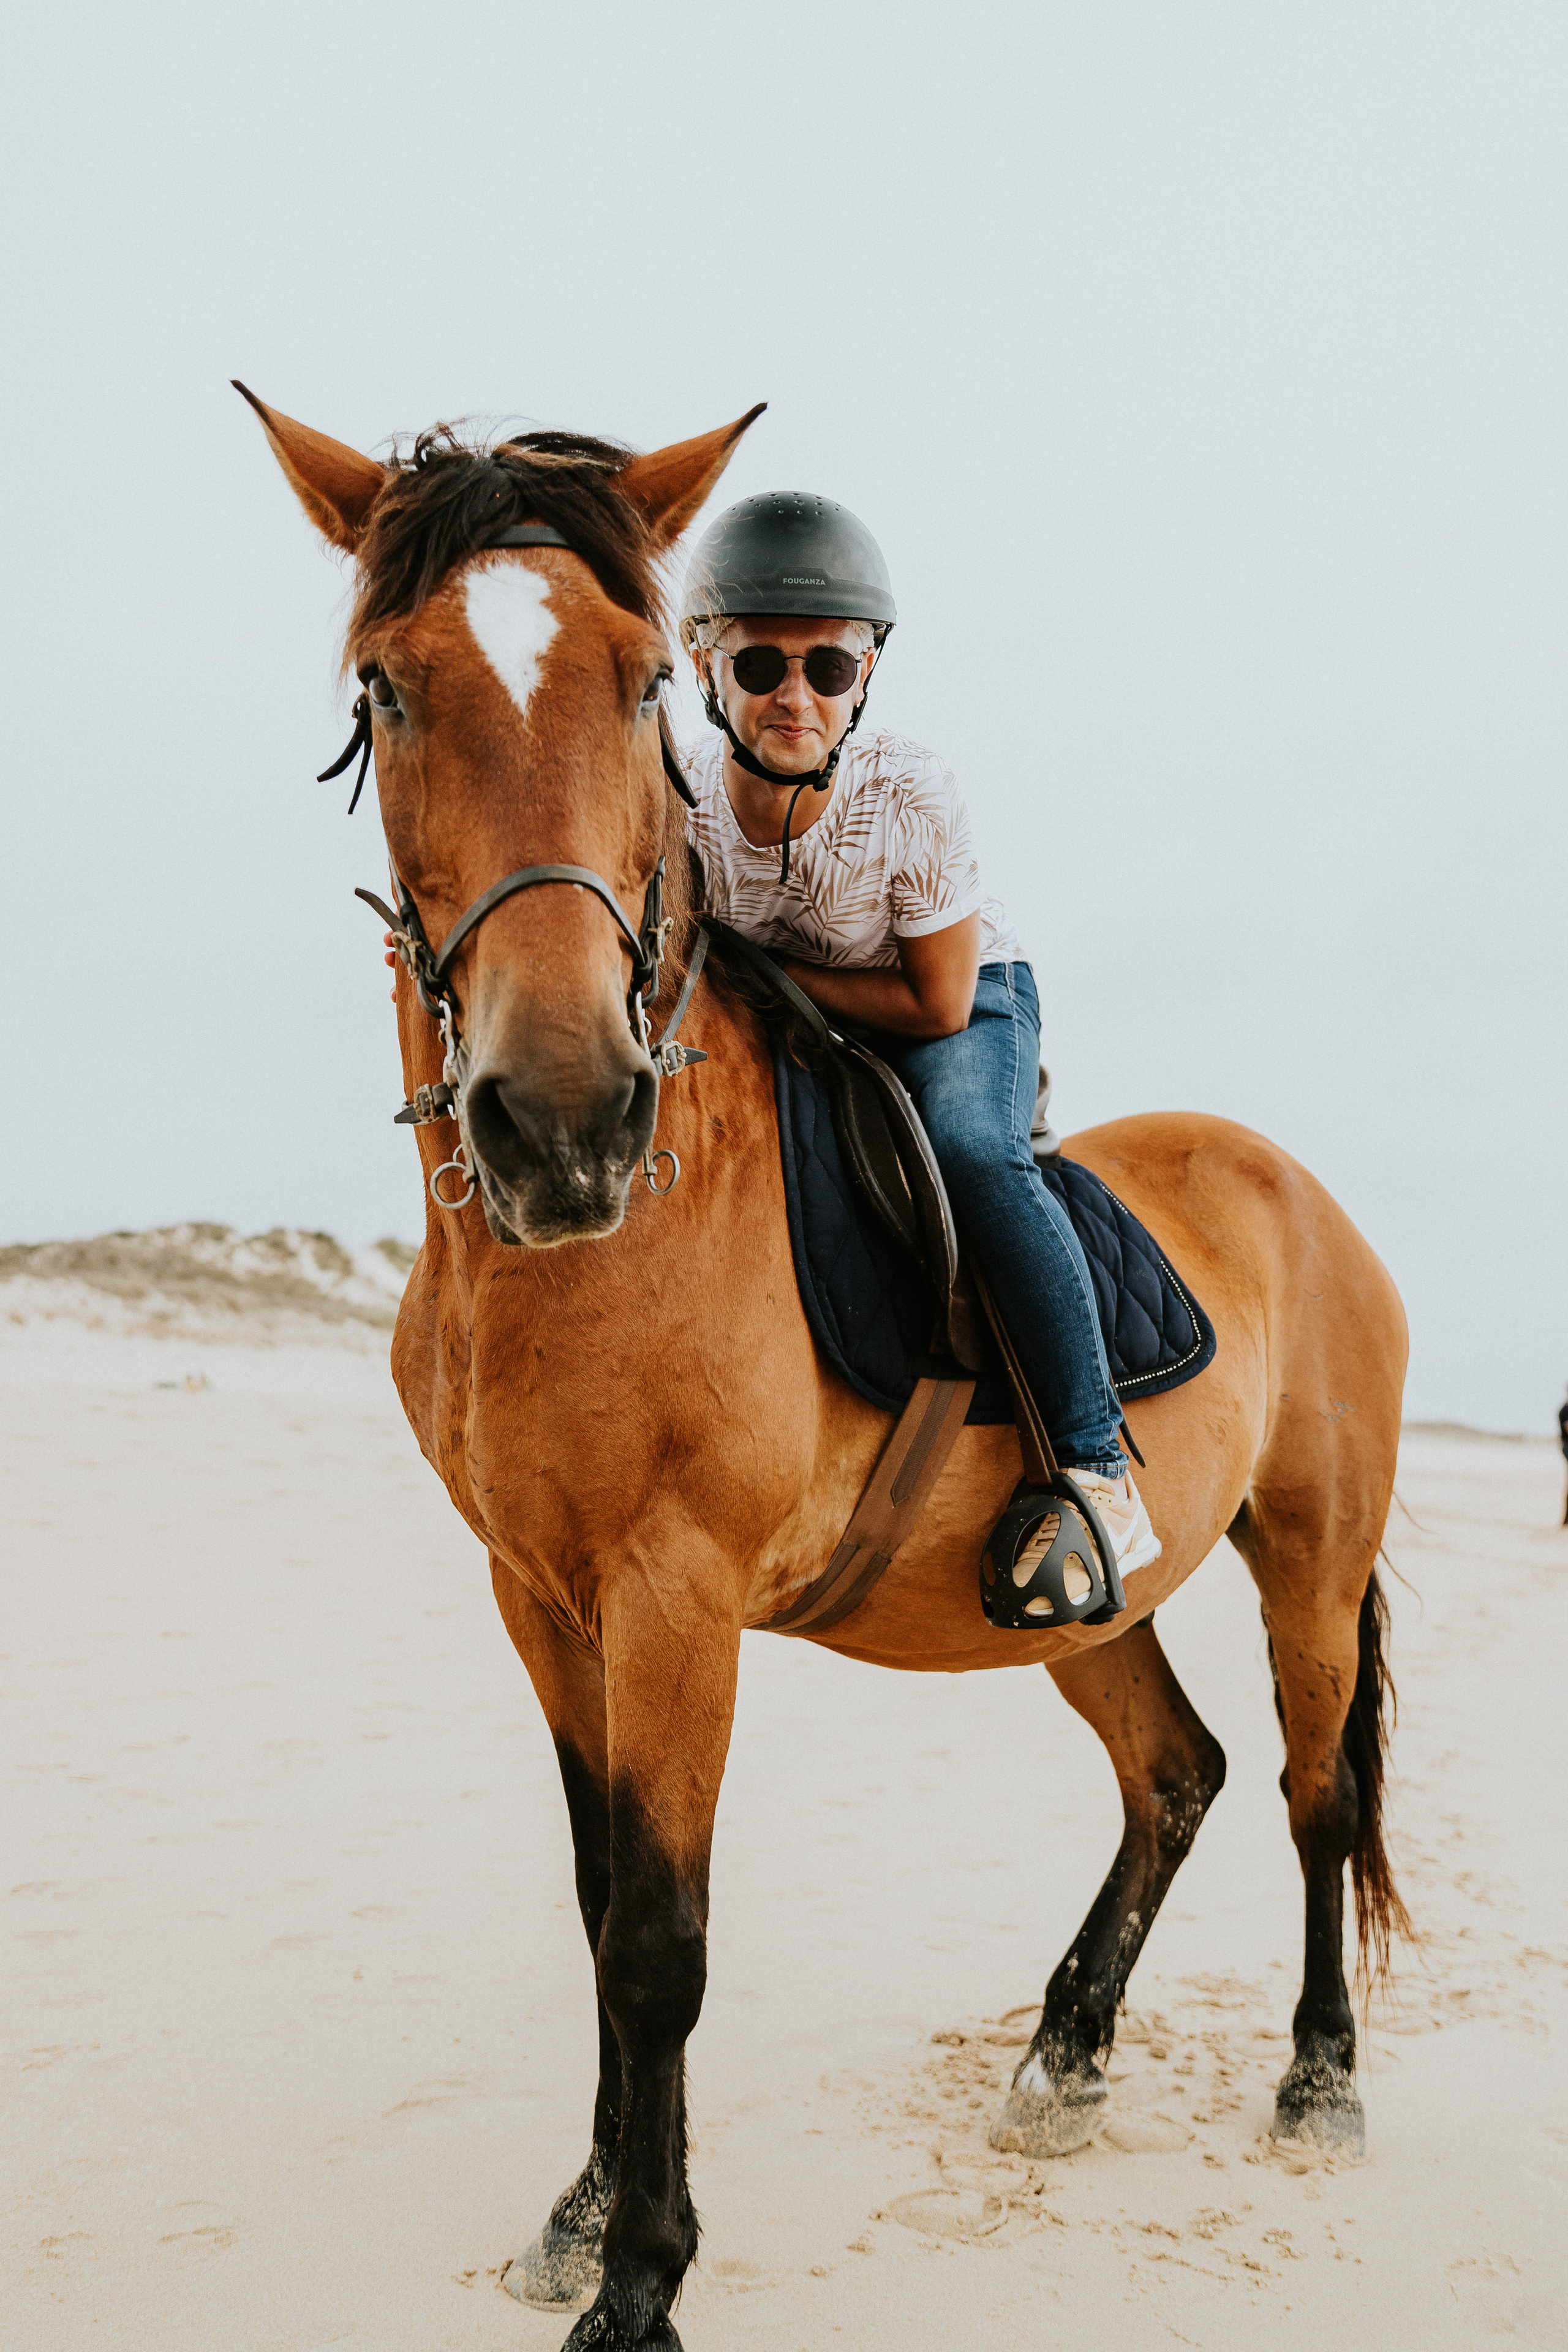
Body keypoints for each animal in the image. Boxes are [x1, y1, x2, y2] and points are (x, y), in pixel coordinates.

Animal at [238, 385, 1410, 2352]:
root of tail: (1297, 1186)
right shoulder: (538, 1593)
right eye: (388, 688)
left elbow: (659, 1941)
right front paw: (588, 2210)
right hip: (1081, 1604)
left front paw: (641, 2278)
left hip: (1311, 1555)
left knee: (1312, 1792)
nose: (565, 1121)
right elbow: (600, 1901)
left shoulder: (674, 1597)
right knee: (1174, 1771)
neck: (591, 1244)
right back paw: (1065, 2056)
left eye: (644, 680)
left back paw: (1317, 2081)